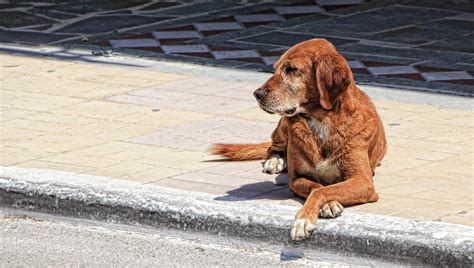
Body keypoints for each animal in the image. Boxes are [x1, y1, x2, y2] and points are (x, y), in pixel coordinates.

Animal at [210, 38, 386, 241]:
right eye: (276, 68)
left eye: (291, 69)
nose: (257, 94)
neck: (321, 121)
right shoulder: (296, 178)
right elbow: (316, 187)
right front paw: (327, 205)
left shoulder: (362, 181)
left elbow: (321, 190)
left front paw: (305, 219)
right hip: (284, 124)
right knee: (272, 146)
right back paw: (275, 161)